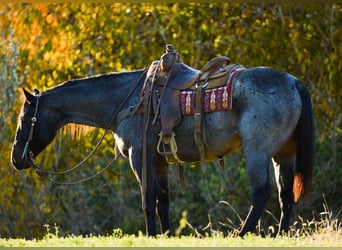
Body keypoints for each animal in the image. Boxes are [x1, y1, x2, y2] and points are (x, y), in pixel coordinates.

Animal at [11, 46, 316, 237]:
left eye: (25, 120)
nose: (16, 159)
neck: (127, 100)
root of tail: (294, 82)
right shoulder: (160, 162)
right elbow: (163, 204)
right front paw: (165, 235)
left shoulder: (140, 157)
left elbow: (147, 202)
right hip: (283, 155)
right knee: (286, 196)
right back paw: (281, 234)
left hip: (257, 151)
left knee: (261, 193)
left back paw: (242, 234)